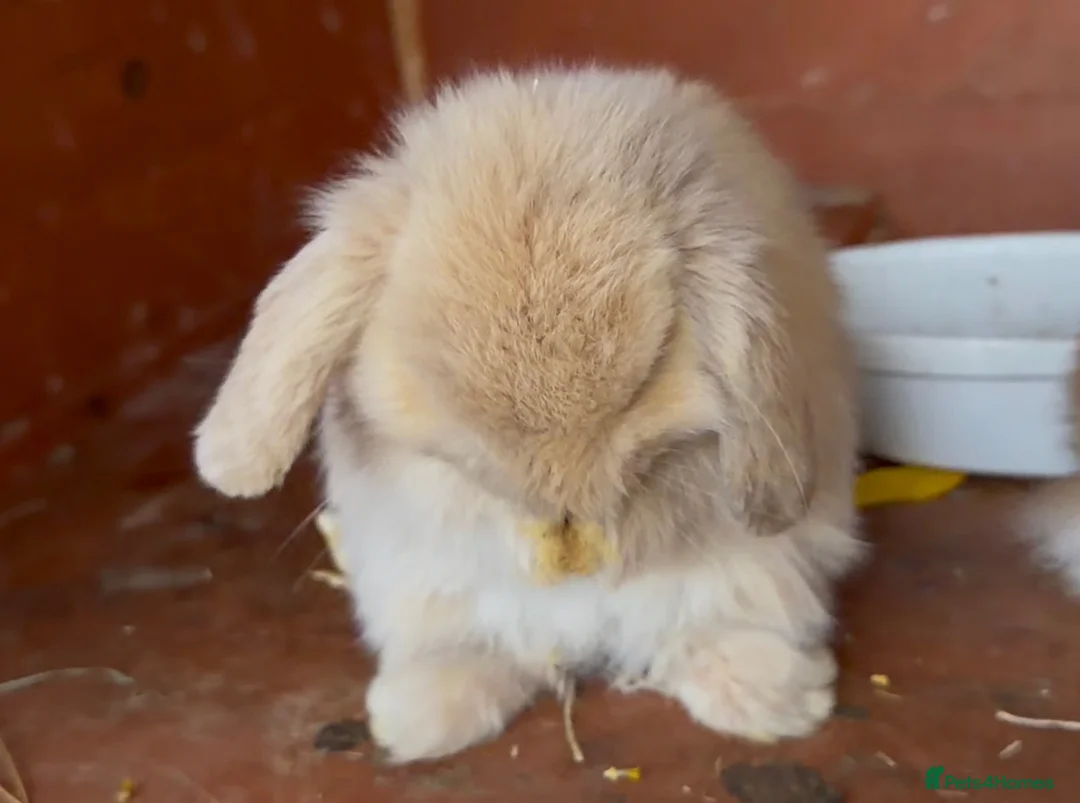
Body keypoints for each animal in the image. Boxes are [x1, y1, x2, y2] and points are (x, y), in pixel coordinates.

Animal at [193, 65, 865, 764]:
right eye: (443, 383)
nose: (559, 504)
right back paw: (419, 718)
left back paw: (775, 702)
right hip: (420, 593)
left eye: (647, 375)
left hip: (759, 576)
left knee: (710, 632)